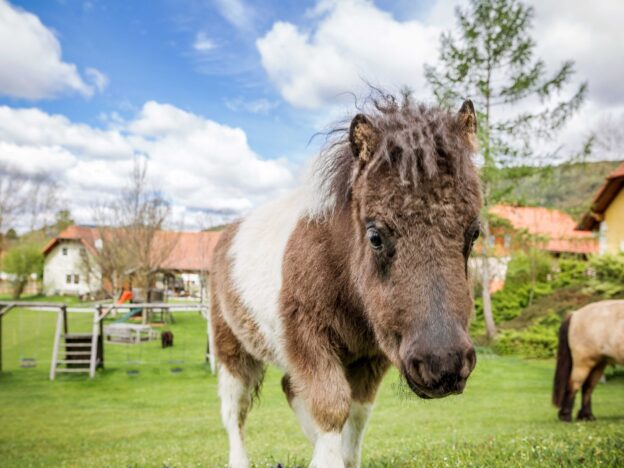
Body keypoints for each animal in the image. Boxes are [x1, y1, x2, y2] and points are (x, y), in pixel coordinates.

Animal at [210, 96, 482, 468]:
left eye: (475, 232)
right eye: (375, 236)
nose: (443, 364)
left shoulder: (372, 355)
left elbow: (356, 413)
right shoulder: (307, 341)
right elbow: (331, 408)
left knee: (289, 388)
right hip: (232, 350)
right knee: (234, 410)